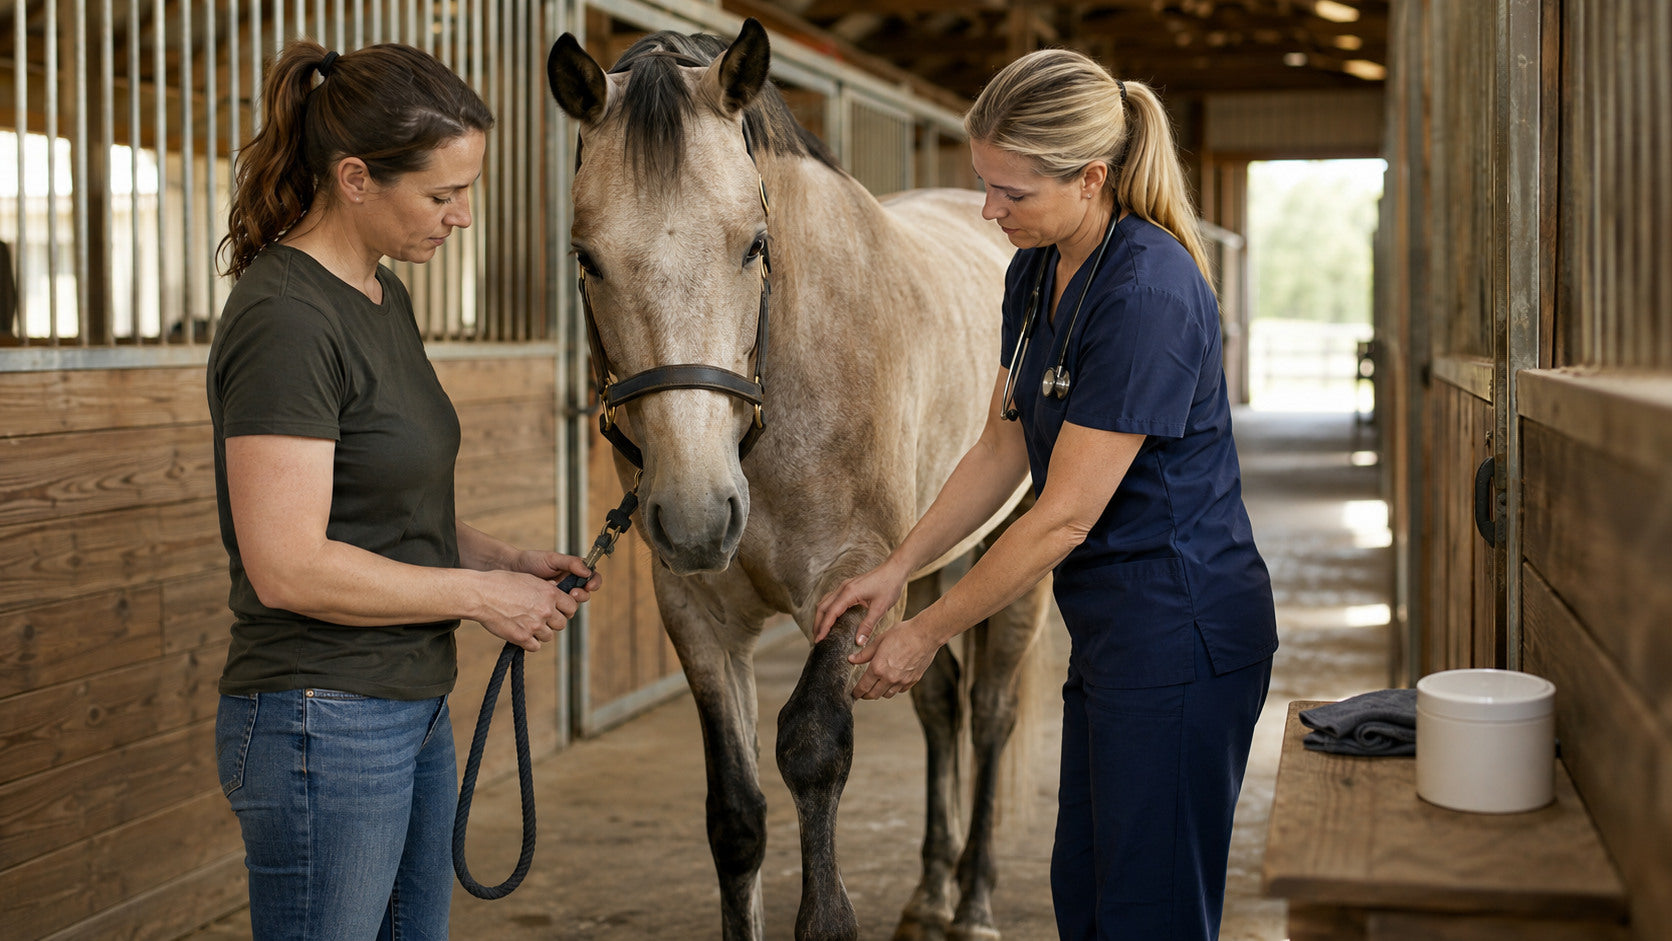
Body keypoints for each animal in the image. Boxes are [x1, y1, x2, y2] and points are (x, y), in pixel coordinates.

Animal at [546, 19, 1051, 941]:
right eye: (587, 257)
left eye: (755, 242)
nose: (698, 515)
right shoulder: (697, 613)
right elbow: (737, 813)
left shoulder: (856, 581)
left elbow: (813, 746)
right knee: (942, 704)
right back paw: (931, 892)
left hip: (1015, 549)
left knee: (993, 710)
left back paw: (975, 900)